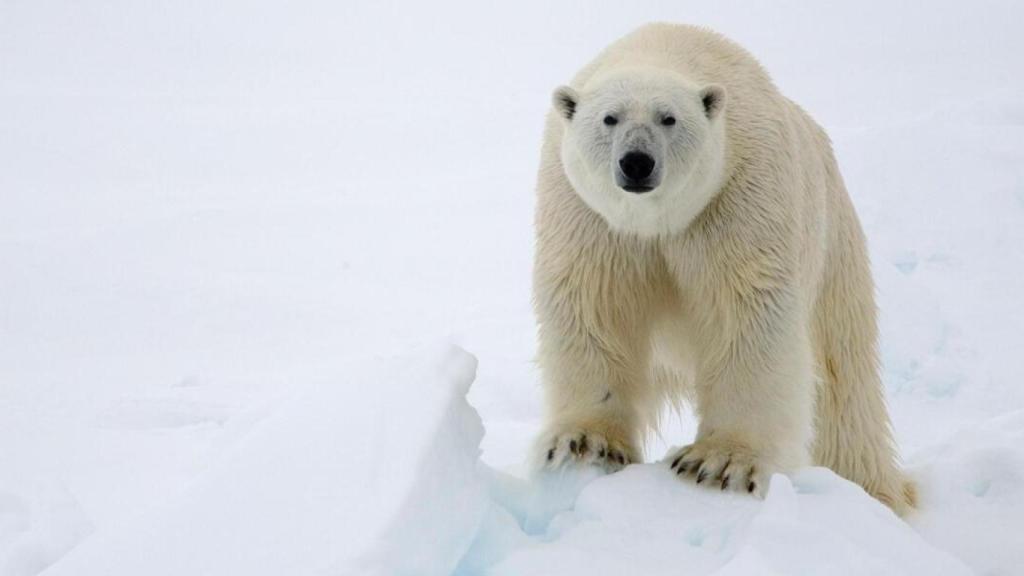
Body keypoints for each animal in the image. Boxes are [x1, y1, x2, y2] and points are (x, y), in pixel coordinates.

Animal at [532, 23, 916, 516]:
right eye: (609, 118)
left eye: (669, 118)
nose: (637, 162)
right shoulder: (590, 217)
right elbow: (594, 305)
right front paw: (585, 443)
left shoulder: (738, 196)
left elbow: (749, 314)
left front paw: (718, 464)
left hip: (833, 238)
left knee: (843, 375)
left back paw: (873, 489)